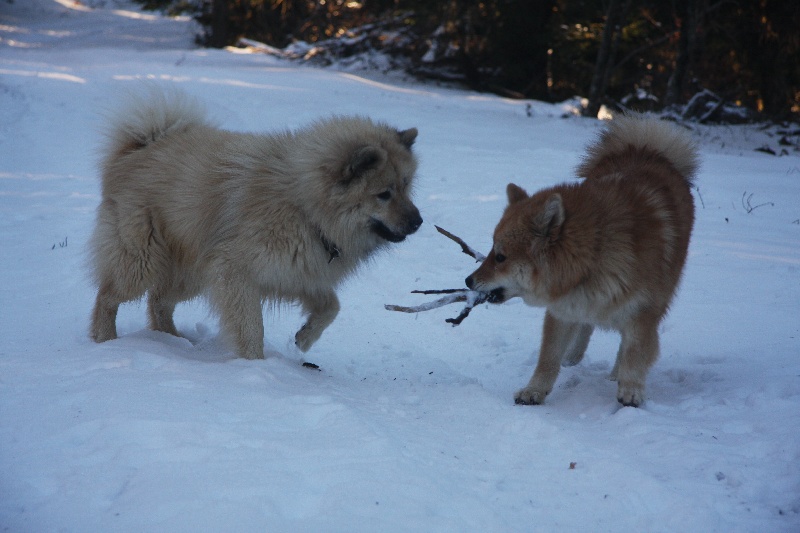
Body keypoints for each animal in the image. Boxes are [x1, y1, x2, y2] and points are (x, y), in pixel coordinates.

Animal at [90, 88, 422, 358]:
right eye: (384, 194)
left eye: (406, 186)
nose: (419, 222)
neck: (304, 206)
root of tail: (141, 146)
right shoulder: (236, 273)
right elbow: (252, 328)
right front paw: (254, 366)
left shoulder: (298, 272)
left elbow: (332, 306)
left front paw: (304, 338)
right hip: (142, 262)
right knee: (108, 297)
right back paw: (104, 340)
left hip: (193, 271)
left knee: (158, 300)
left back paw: (172, 340)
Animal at [466, 114, 696, 406]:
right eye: (492, 251)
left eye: (500, 256)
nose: (468, 280)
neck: (593, 256)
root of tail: (647, 149)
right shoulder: (563, 307)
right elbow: (548, 357)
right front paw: (535, 390)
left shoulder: (644, 311)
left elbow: (634, 353)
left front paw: (631, 389)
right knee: (585, 326)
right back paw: (574, 355)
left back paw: (615, 373)